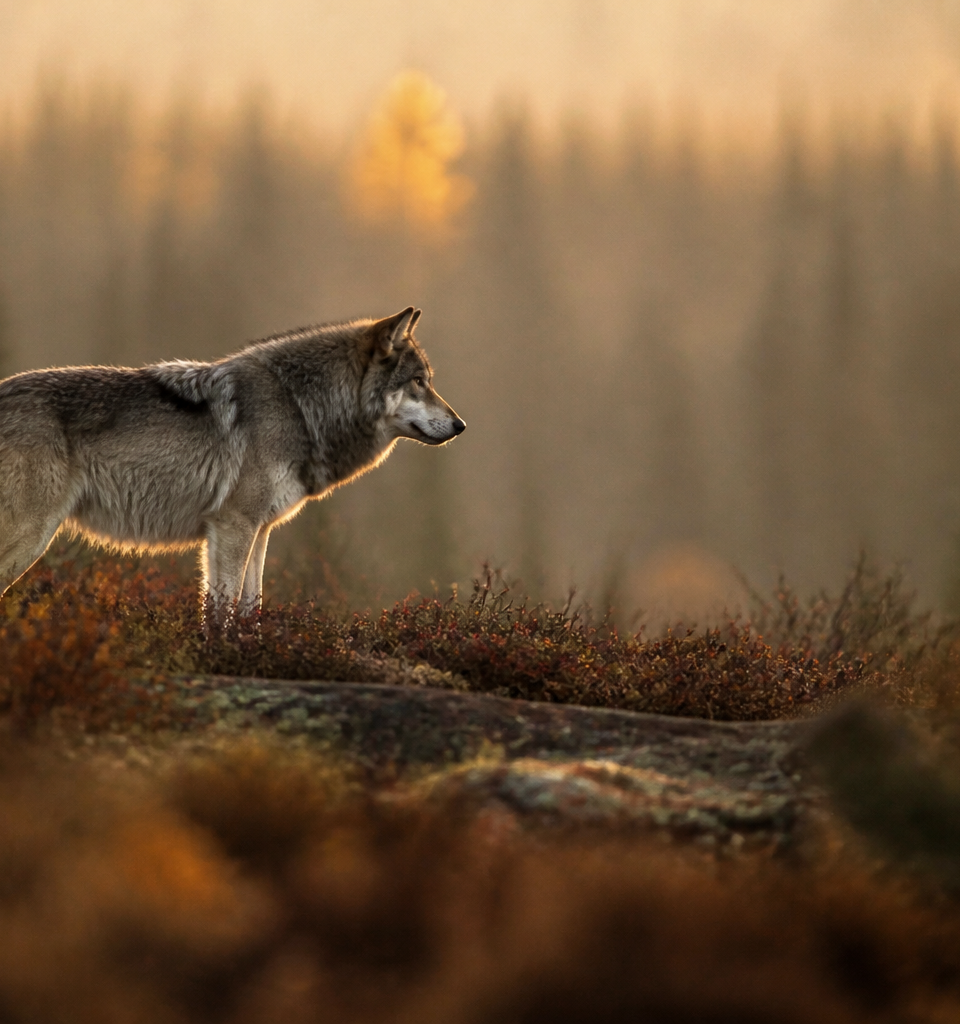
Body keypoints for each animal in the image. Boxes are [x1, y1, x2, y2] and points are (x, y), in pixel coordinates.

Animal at [0, 307, 464, 615]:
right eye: (419, 382)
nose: (461, 425)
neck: (299, 407)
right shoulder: (233, 526)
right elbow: (222, 612)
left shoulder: (257, 531)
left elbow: (249, 609)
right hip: (32, 535)